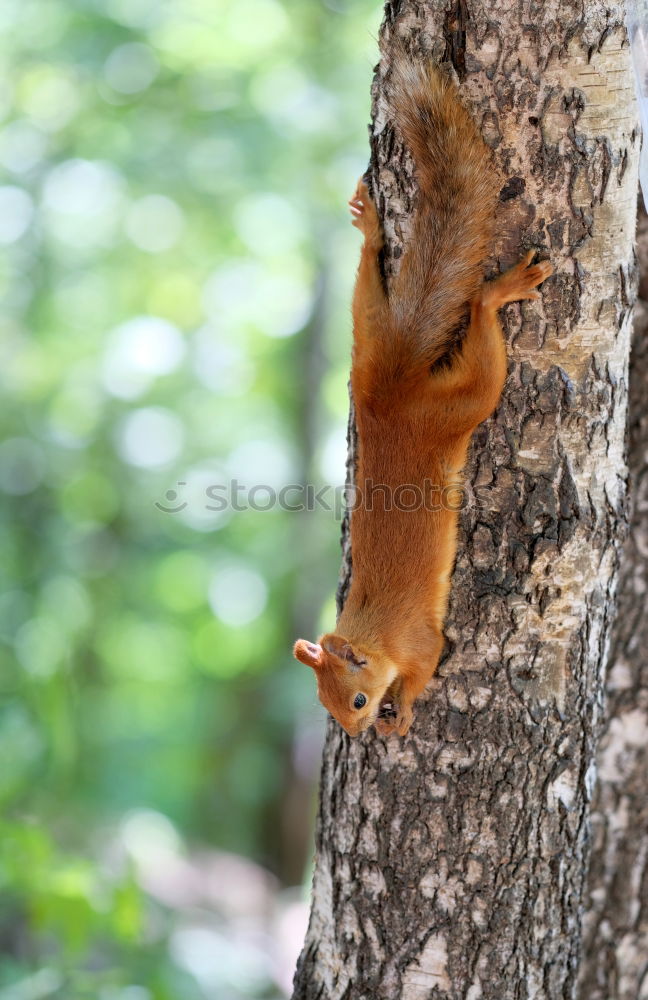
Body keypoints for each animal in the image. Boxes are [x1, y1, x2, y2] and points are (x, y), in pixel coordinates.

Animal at [294, 56, 552, 744]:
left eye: (356, 700)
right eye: (324, 705)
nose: (356, 735)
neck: (374, 635)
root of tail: (391, 393)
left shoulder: (421, 644)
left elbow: (426, 669)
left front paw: (402, 714)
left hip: (459, 407)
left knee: (482, 350)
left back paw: (499, 291)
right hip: (368, 341)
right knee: (369, 284)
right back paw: (369, 230)